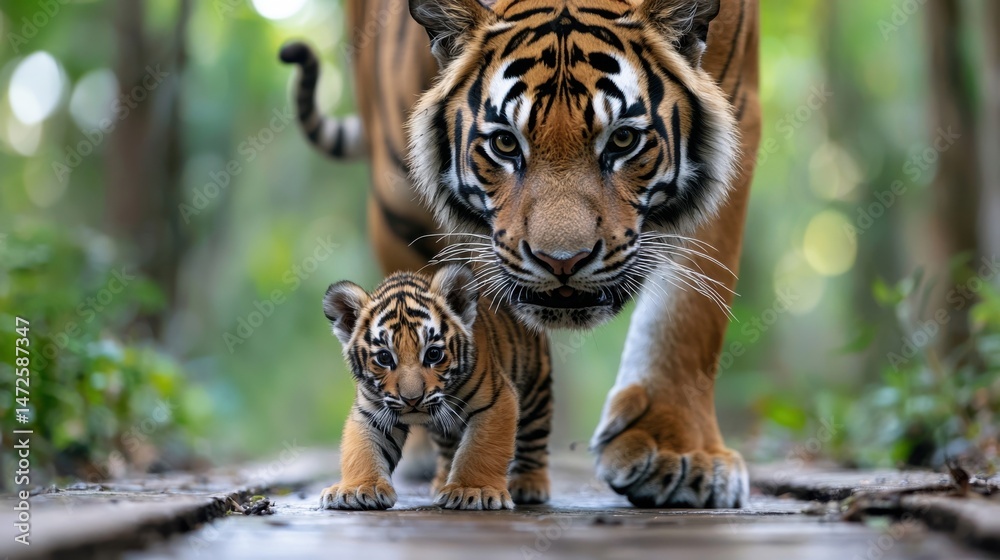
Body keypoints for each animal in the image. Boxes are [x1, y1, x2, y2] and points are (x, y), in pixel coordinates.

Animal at [319, 265, 553, 510]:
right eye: (384, 358)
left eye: (433, 354)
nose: (412, 399)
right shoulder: (372, 412)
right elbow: (362, 450)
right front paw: (357, 489)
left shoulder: (495, 401)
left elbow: (480, 449)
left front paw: (473, 490)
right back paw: (443, 483)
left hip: (535, 395)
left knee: (533, 442)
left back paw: (528, 485)